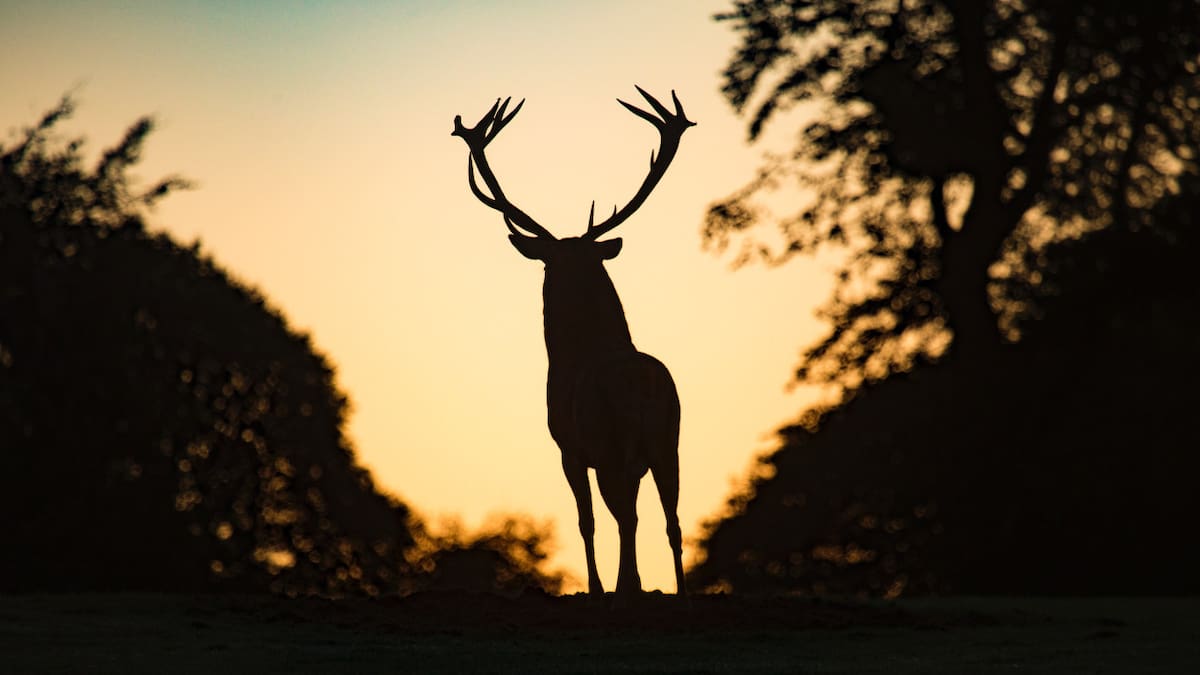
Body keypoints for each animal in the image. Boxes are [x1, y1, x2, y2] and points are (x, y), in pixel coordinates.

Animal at [452, 88, 694, 604]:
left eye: (547, 263)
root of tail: (643, 387)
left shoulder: (568, 447)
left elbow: (585, 521)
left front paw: (599, 587)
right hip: (670, 440)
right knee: (672, 520)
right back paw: (678, 590)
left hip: (614, 443)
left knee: (625, 516)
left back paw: (627, 587)